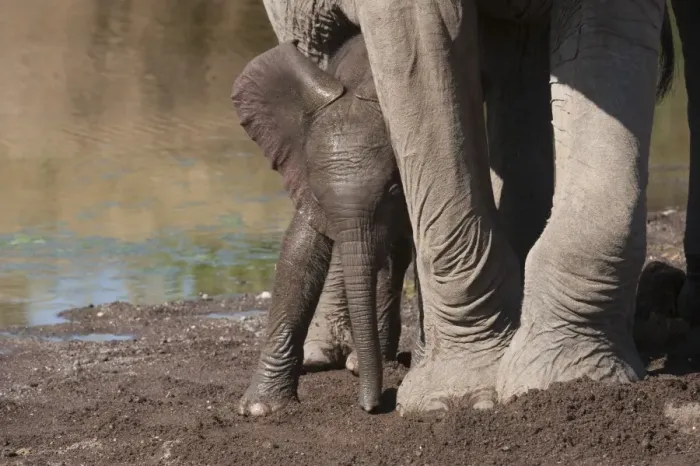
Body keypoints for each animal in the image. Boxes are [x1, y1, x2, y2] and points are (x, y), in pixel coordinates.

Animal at [250, 0, 677, 416]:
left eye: (393, 189)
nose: (371, 407)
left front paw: (564, 379)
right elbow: (302, 250)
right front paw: (260, 408)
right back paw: (330, 357)